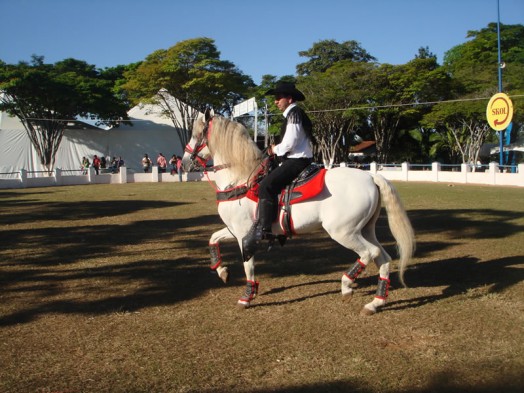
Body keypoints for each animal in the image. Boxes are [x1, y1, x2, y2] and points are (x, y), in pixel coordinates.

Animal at [182, 111, 416, 316]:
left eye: (196, 133)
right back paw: (375, 303)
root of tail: (370, 177)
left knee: (370, 253)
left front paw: (247, 297)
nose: (183, 162)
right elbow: (213, 239)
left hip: (344, 232)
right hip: (365, 229)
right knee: (383, 258)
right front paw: (222, 271)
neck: (240, 178)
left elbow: (248, 266)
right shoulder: (235, 230)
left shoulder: (243, 235)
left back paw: (347, 285)